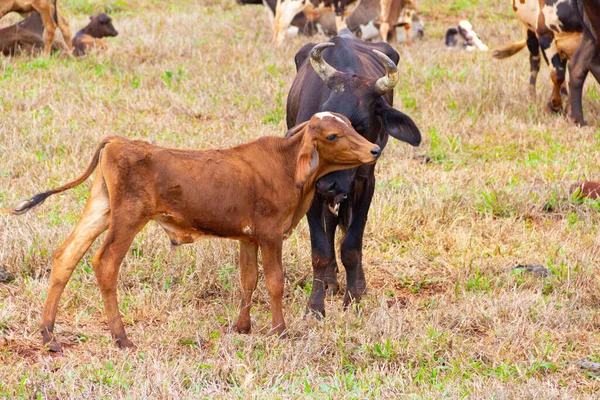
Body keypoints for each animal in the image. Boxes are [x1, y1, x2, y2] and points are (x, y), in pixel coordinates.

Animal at [4, 111, 378, 350]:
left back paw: (49, 335)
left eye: (352, 126)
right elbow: (274, 283)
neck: (284, 166)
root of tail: (119, 142)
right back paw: (121, 337)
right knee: (105, 264)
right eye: (332, 135)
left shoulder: (248, 237)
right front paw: (280, 331)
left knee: (66, 256)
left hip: (101, 209)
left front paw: (242, 327)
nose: (374, 149)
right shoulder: (270, 235)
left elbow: (248, 280)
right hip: (128, 218)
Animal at [288, 29, 422, 318]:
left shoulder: (365, 183)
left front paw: (354, 297)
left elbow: (351, 245)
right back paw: (330, 282)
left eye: (359, 125)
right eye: (322, 121)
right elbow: (320, 250)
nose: (327, 184)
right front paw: (315, 307)